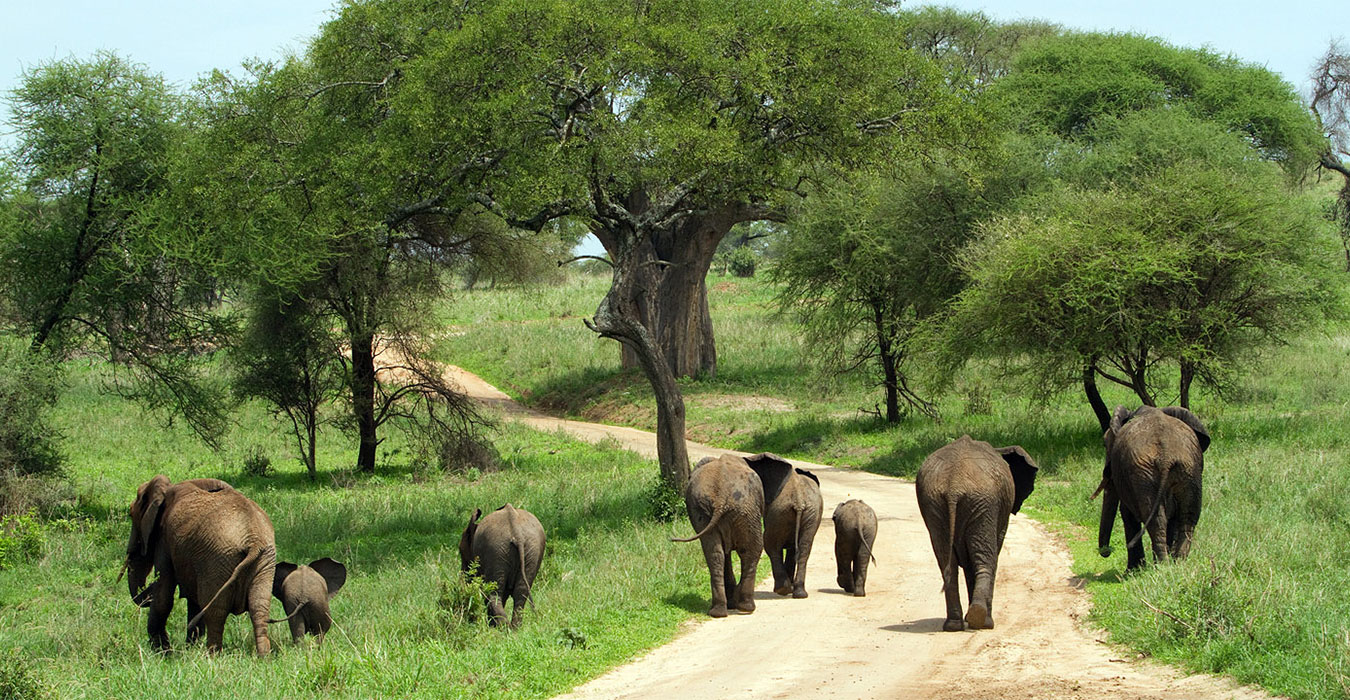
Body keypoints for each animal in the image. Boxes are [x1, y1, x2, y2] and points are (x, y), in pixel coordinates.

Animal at [123, 477, 276, 658]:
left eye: (131, 514)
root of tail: (253, 541)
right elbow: (192, 601)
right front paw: (186, 649)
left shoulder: (164, 541)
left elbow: (163, 597)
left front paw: (163, 654)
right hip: (264, 562)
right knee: (259, 607)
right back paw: (263, 657)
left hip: (218, 558)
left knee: (215, 612)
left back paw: (212, 657)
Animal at [672, 458, 766, 623]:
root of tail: (721, 496)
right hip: (746, 510)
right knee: (752, 550)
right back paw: (745, 607)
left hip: (706, 512)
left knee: (715, 554)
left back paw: (719, 612)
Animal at [912, 434, 1036, 633]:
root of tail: (954, 485)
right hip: (983, 502)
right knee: (986, 560)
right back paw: (984, 622)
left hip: (934, 503)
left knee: (947, 563)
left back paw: (955, 625)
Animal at [1096, 401, 1215, 571]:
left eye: (1106, 444)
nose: (1106, 551)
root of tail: (1166, 456)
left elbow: (1126, 513)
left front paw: (1132, 572)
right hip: (1188, 471)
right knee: (1187, 517)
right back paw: (1177, 565)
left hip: (1146, 476)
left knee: (1157, 521)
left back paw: (1162, 567)